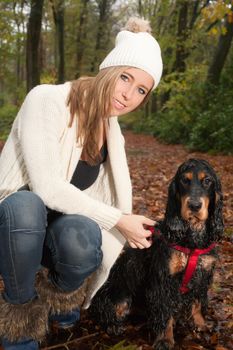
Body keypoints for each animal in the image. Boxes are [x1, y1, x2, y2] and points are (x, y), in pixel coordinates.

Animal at [89, 159, 224, 350]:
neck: (192, 239)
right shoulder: (163, 279)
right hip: (120, 295)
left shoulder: (203, 275)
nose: (194, 206)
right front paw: (164, 340)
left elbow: (197, 303)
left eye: (207, 181)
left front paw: (200, 325)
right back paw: (114, 326)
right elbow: (164, 312)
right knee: (105, 311)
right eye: (184, 180)